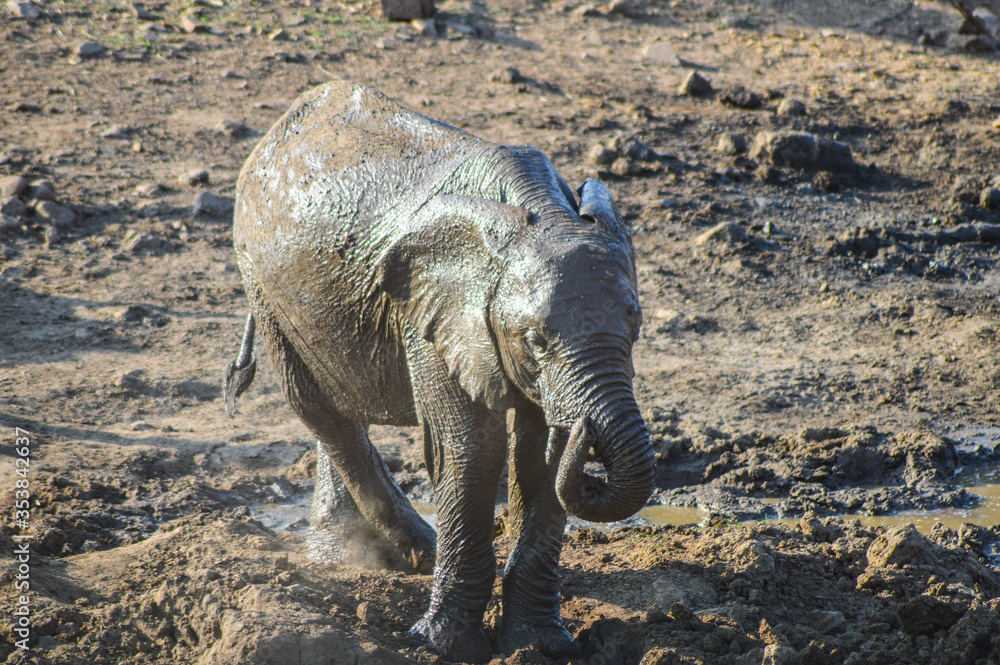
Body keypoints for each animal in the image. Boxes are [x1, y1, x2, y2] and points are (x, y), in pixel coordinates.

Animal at [223, 80, 654, 662]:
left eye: (635, 329)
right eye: (536, 340)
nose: (586, 430)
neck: (538, 211)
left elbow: (538, 461)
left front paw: (540, 645)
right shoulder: (431, 313)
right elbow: (473, 449)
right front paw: (444, 645)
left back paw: (347, 554)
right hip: (262, 284)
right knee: (319, 407)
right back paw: (413, 554)